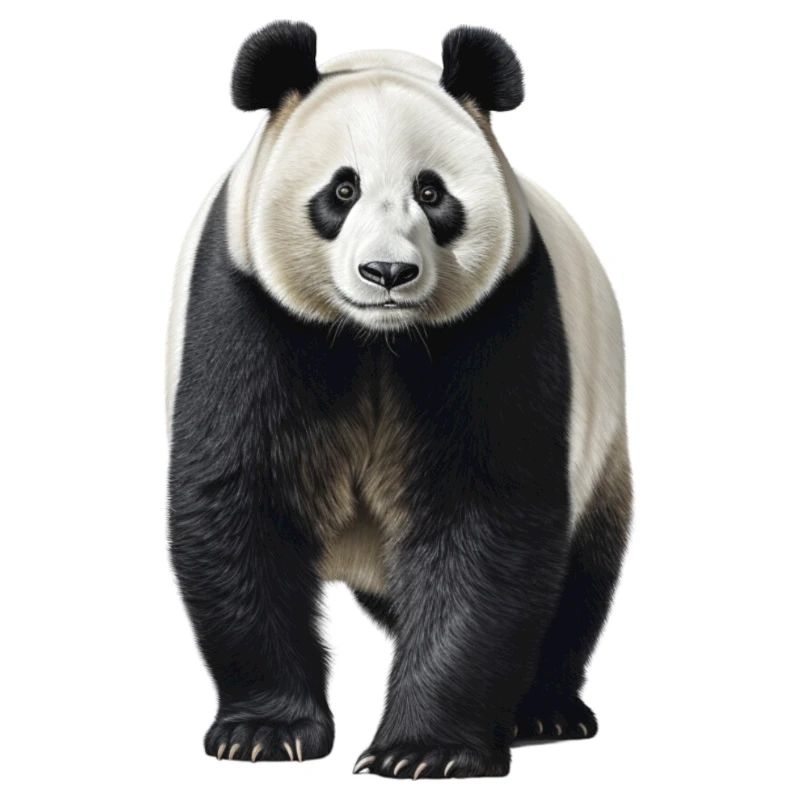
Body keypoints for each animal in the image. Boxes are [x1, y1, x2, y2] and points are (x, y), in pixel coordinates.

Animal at [166, 20, 632, 780]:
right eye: (342, 189)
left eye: (433, 192)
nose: (388, 272)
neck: (375, 339)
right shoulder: (246, 308)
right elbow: (240, 497)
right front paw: (266, 733)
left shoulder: (499, 317)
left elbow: (483, 516)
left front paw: (425, 751)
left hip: (603, 437)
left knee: (580, 577)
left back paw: (543, 710)